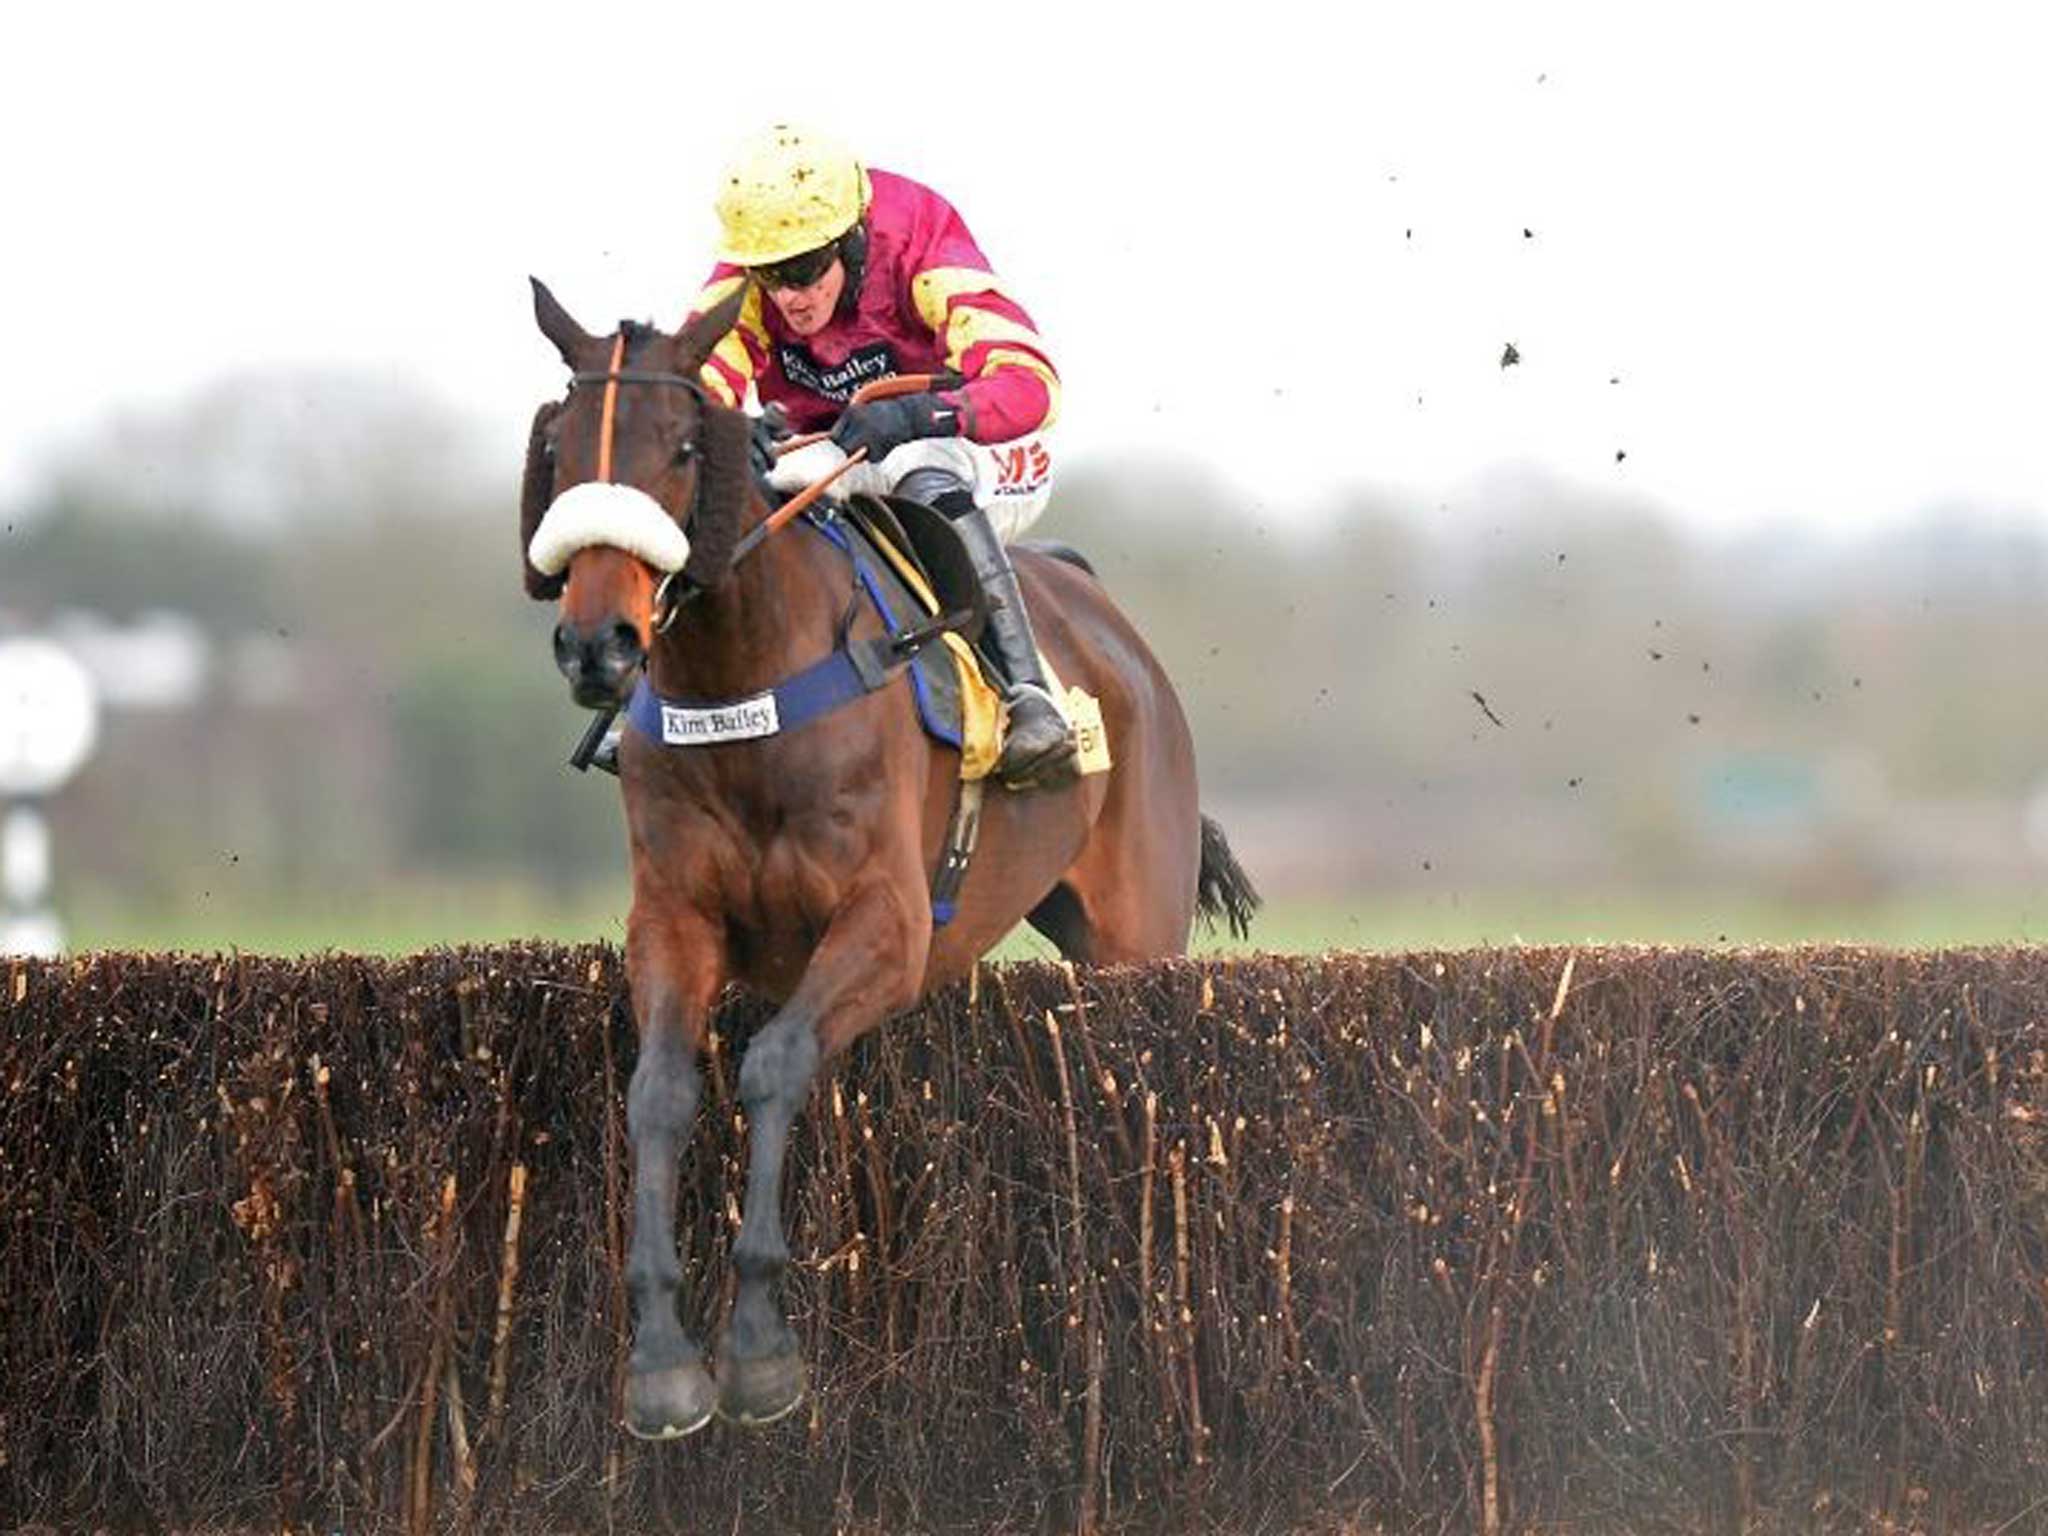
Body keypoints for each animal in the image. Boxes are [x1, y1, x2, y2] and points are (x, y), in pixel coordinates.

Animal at [520, 276, 1253, 1441]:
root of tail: (1101, 611)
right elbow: (659, 1091)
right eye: (559, 453)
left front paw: (761, 1353)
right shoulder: (673, 920)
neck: (746, 683)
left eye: (681, 448)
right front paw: (663, 1363)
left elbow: (773, 1064)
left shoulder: (887, 926)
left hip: (1134, 932)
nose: (598, 646)